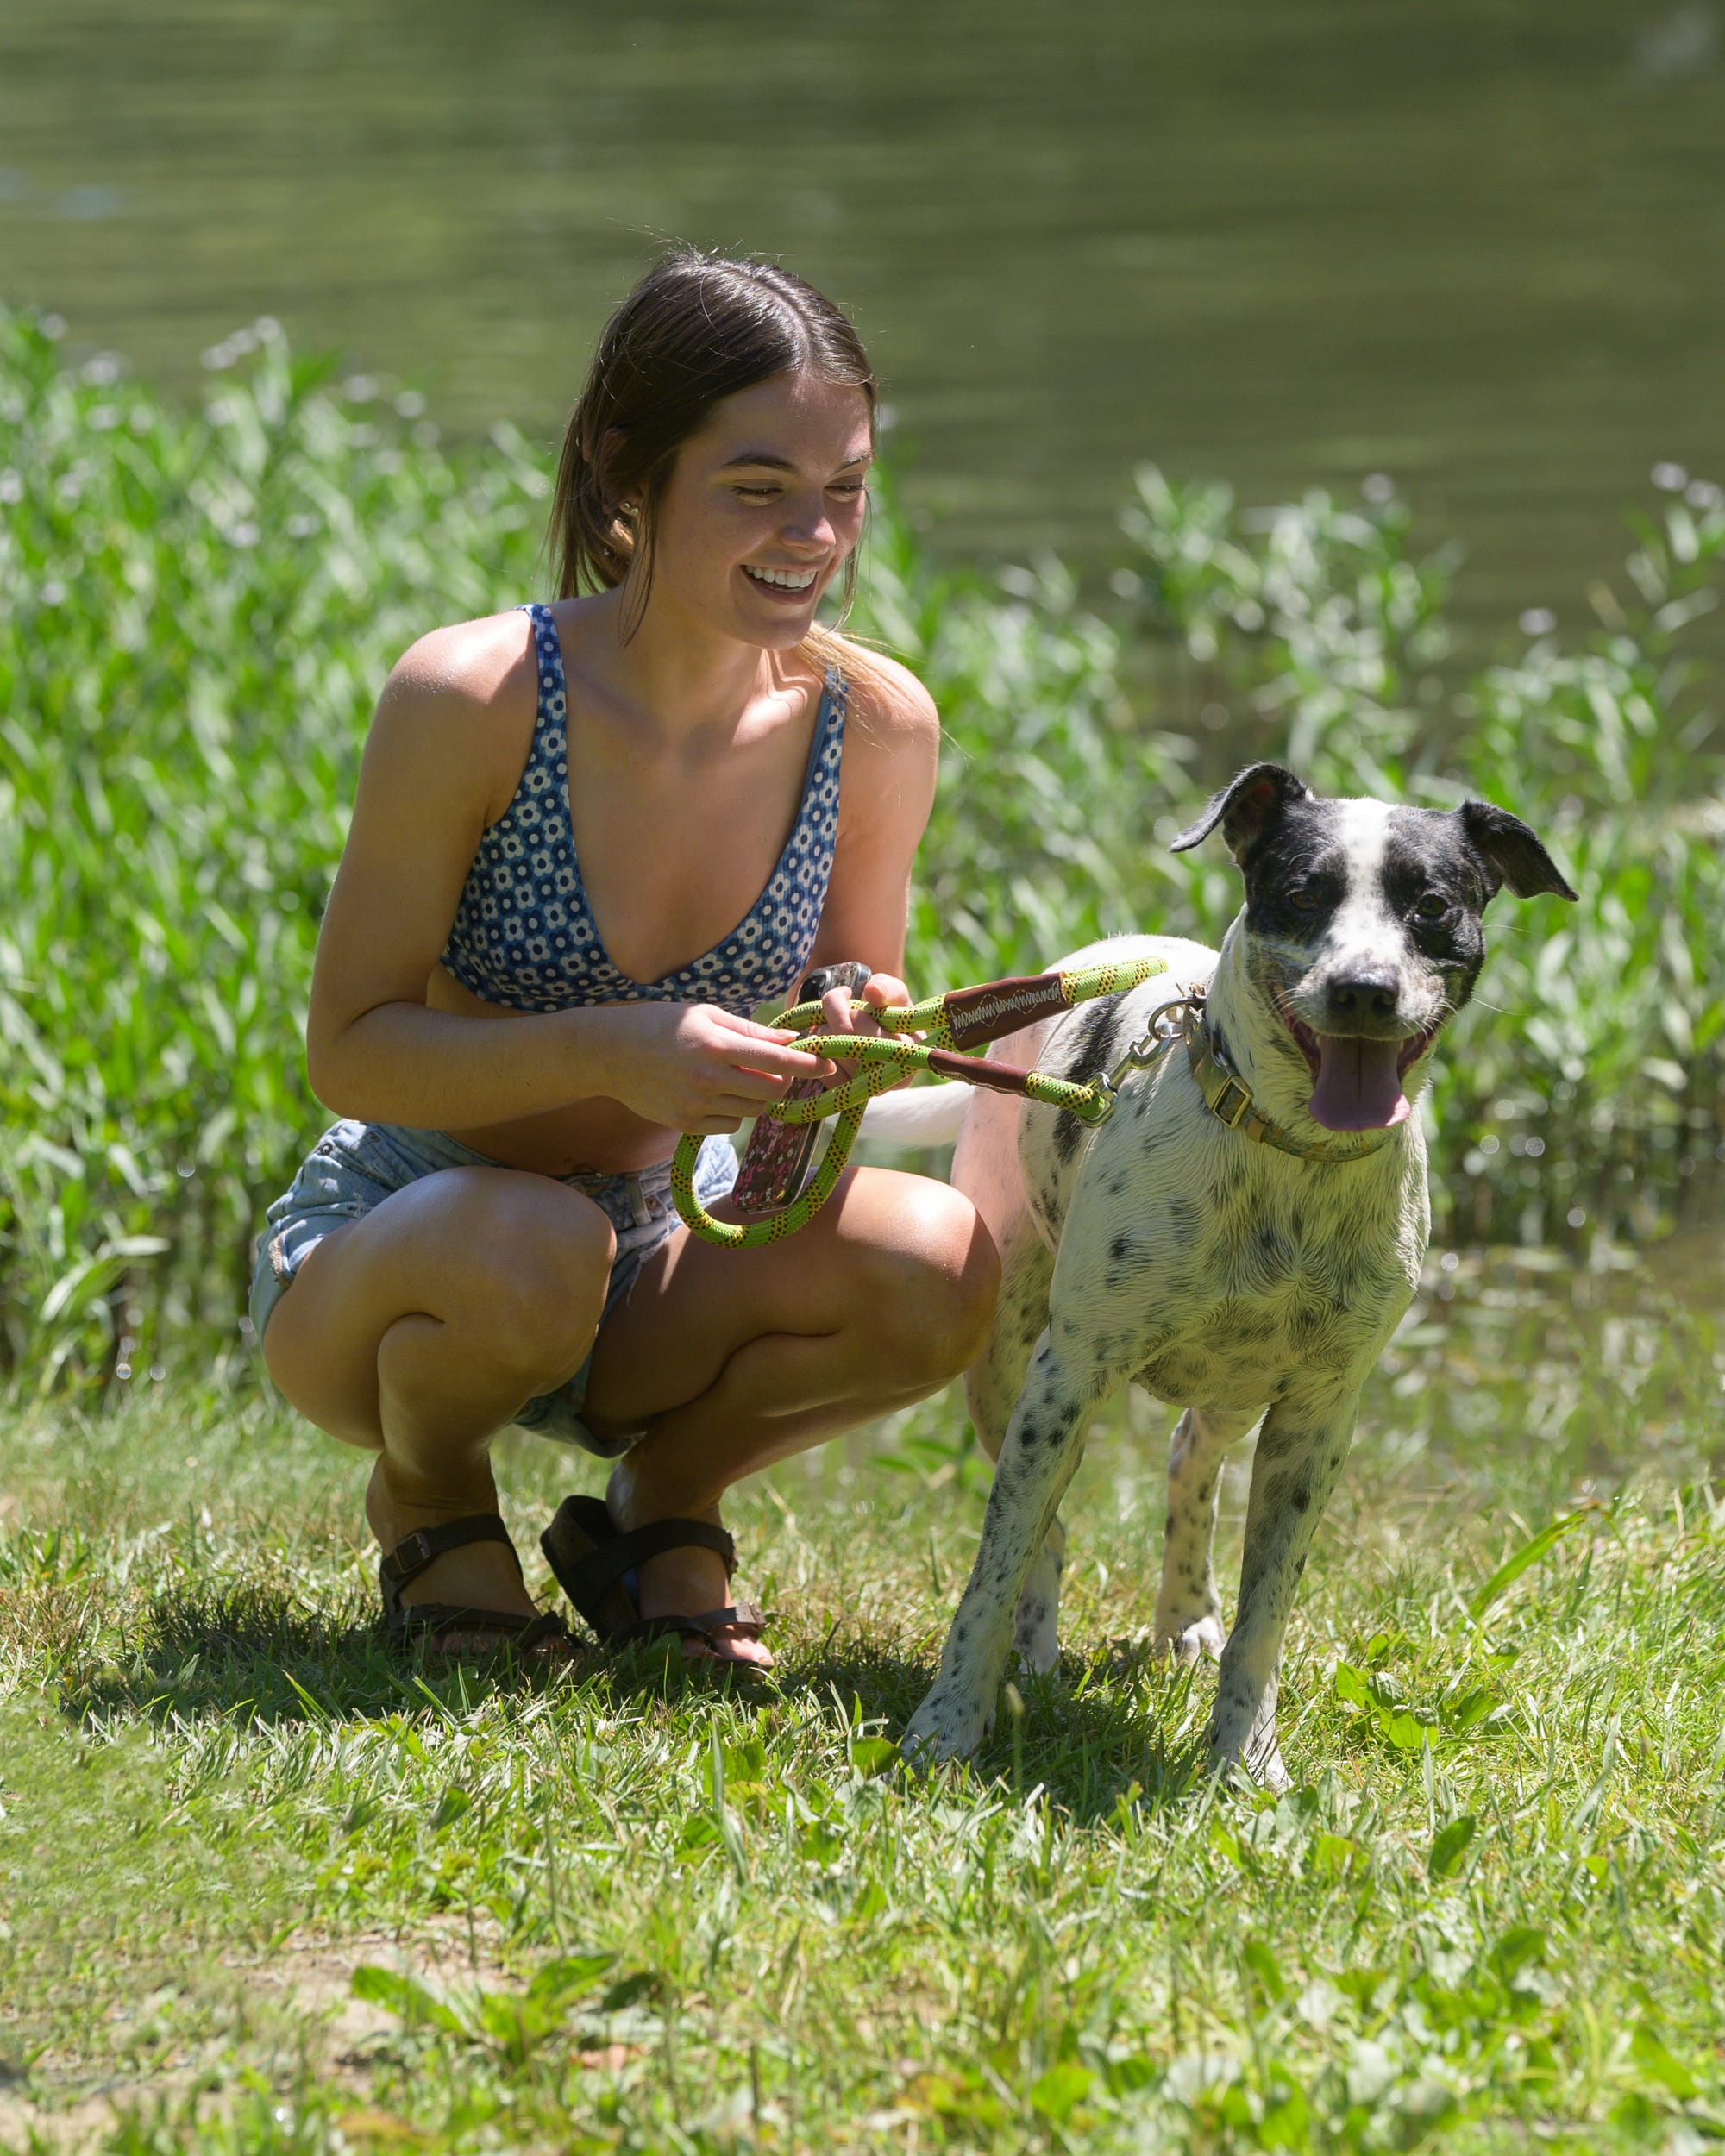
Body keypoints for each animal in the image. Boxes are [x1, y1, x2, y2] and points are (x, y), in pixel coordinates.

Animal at [875, 763, 1578, 1785]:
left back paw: (1183, 1615)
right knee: (1044, 1529)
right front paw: (947, 1723)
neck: (1291, 1156)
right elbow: (991, 1571)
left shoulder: (1315, 1421)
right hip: (1015, 1371)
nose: (1363, 990)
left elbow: (1265, 1614)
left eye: (1431, 904)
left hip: (1236, 1383)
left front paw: (1244, 1755)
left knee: (1187, 1464)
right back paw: (1033, 1652)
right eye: (1302, 892)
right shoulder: (1068, 1377)